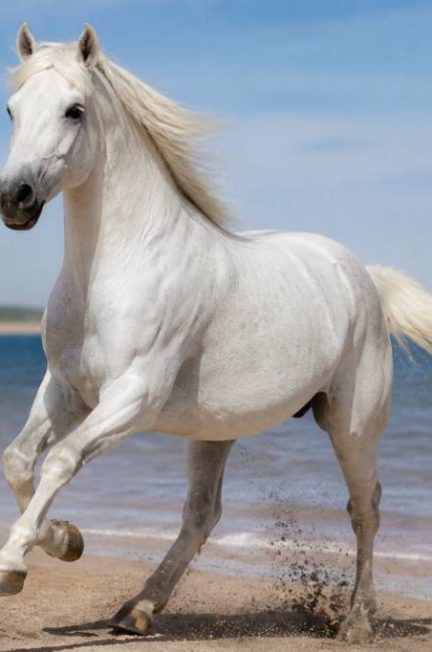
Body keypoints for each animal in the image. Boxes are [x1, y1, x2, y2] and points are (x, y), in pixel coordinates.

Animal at [0, 24, 432, 644]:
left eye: (74, 110)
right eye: (12, 109)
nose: (16, 199)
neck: (113, 270)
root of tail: (364, 276)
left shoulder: (132, 395)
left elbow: (59, 460)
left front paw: (14, 564)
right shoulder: (65, 390)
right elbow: (18, 460)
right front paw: (65, 539)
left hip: (352, 425)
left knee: (364, 508)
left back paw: (355, 623)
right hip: (215, 431)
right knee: (203, 514)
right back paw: (137, 609)